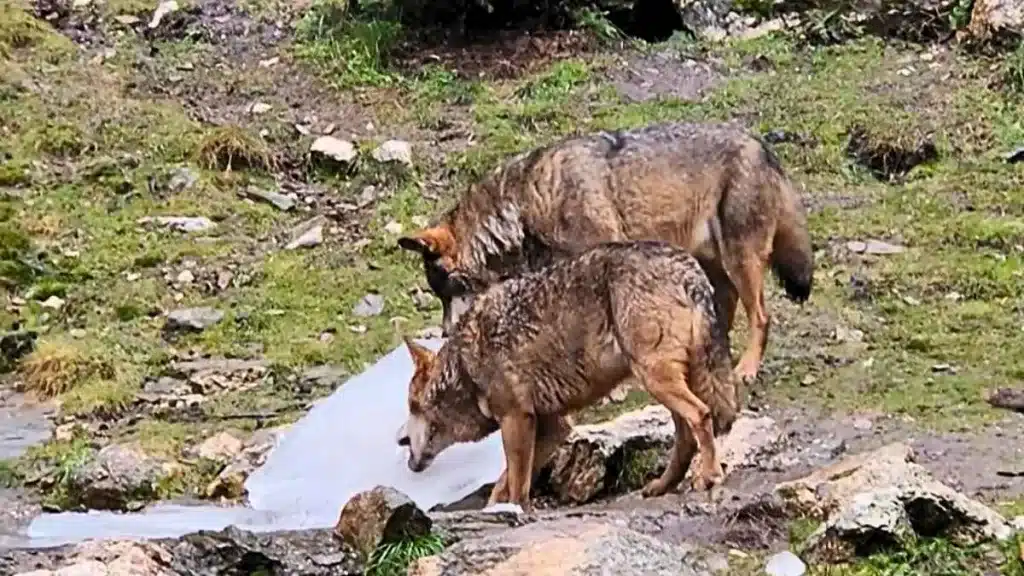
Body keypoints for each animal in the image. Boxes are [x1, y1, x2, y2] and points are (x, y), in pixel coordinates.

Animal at [395, 119, 811, 381]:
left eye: (446, 290)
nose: (445, 333)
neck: (525, 207)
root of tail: (762, 145)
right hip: (712, 262)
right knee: (725, 306)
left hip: (740, 260)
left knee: (761, 315)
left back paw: (747, 369)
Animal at [395, 239, 741, 508]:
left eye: (411, 405)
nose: (400, 441)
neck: (465, 364)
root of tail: (689, 268)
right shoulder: (554, 426)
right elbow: (505, 481)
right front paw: (496, 508)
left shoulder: (516, 419)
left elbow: (517, 482)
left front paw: (515, 512)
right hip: (667, 383)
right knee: (686, 436)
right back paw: (662, 486)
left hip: (656, 379)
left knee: (701, 416)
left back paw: (708, 476)